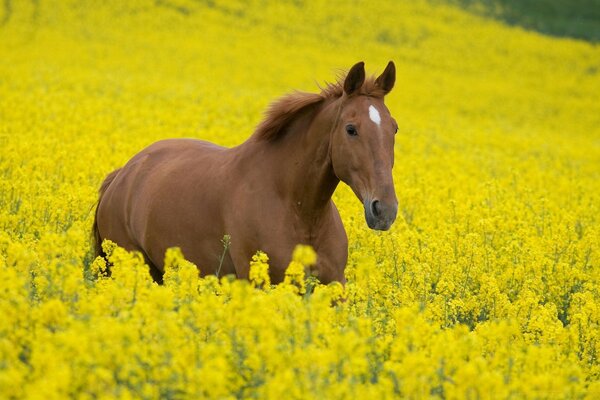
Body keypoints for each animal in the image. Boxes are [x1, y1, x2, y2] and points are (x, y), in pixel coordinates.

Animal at [94, 60, 398, 284]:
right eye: (351, 129)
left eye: (394, 128)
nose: (384, 210)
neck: (298, 209)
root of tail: (122, 174)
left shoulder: (334, 285)